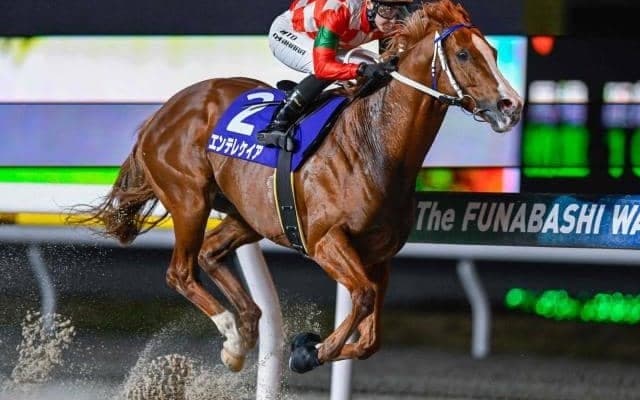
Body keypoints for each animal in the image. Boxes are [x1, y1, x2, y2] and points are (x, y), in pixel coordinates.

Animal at [76, 0, 522, 374]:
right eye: (463, 54)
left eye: (494, 52)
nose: (511, 106)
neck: (374, 145)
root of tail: (164, 112)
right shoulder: (325, 240)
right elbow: (362, 298)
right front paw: (308, 351)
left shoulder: (379, 255)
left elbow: (371, 338)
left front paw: (309, 346)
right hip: (189, 199)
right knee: (180, 272)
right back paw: (232, 334)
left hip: (249, 215)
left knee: (210, 254)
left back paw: (243, 334)